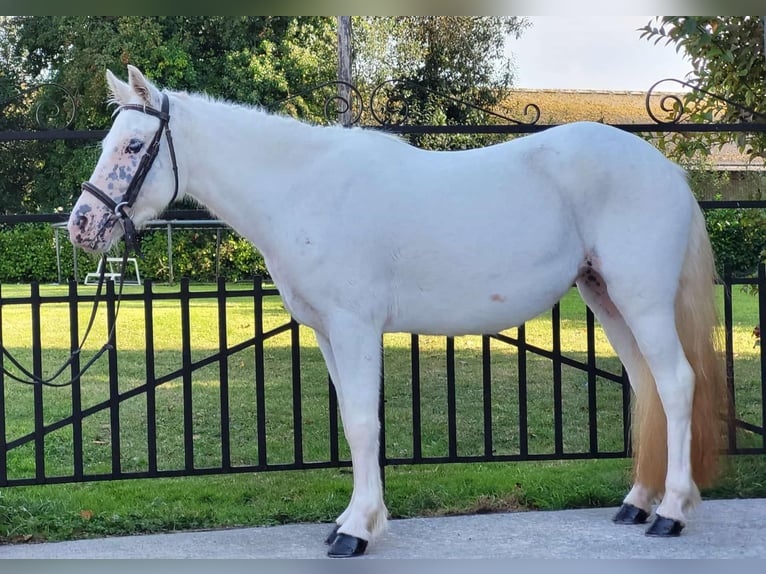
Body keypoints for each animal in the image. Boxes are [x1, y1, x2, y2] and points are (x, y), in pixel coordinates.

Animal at [69, 66, 728, 560]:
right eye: (106, 144)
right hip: (606, 297)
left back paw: (671, 513)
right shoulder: (329, 334)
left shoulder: (354, 326)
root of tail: (668, 171)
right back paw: (636, 503)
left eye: (133, 146)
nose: (81, 224)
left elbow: (364, 424)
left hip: (642, 299)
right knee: (646, 387)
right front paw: (355, 519)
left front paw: (357, 531)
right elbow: (352, 422)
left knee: (675, 384)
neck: (305, 189)